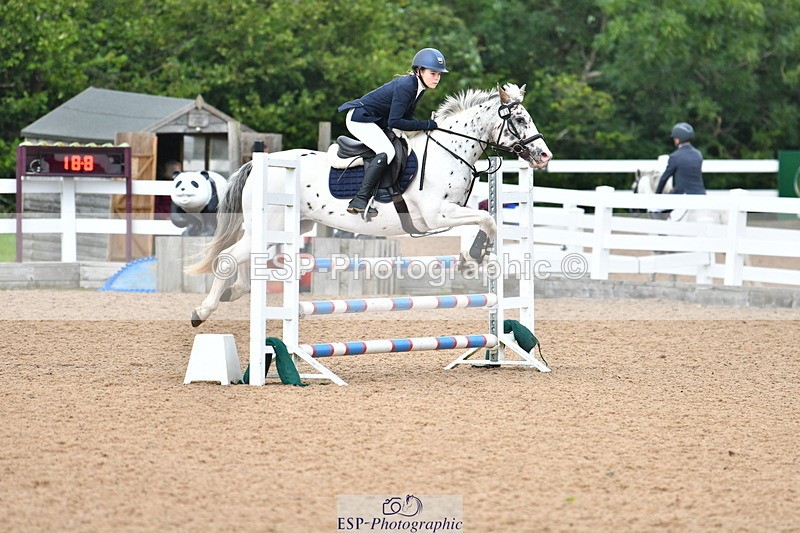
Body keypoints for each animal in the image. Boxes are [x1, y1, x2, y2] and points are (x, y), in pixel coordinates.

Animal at [187, 83, 551, 326]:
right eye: (519, 120)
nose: (544, 155)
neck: (449, 150)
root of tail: (258, 163)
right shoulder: (435, 215)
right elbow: (487, 219)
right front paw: (472, 257)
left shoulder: (446, 214)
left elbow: (486, 220)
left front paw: (470, 258)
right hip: (269, 225)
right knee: (227, 258)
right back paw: (201, 312)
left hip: (289, 226)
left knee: (246, 259)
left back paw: (235, 292)